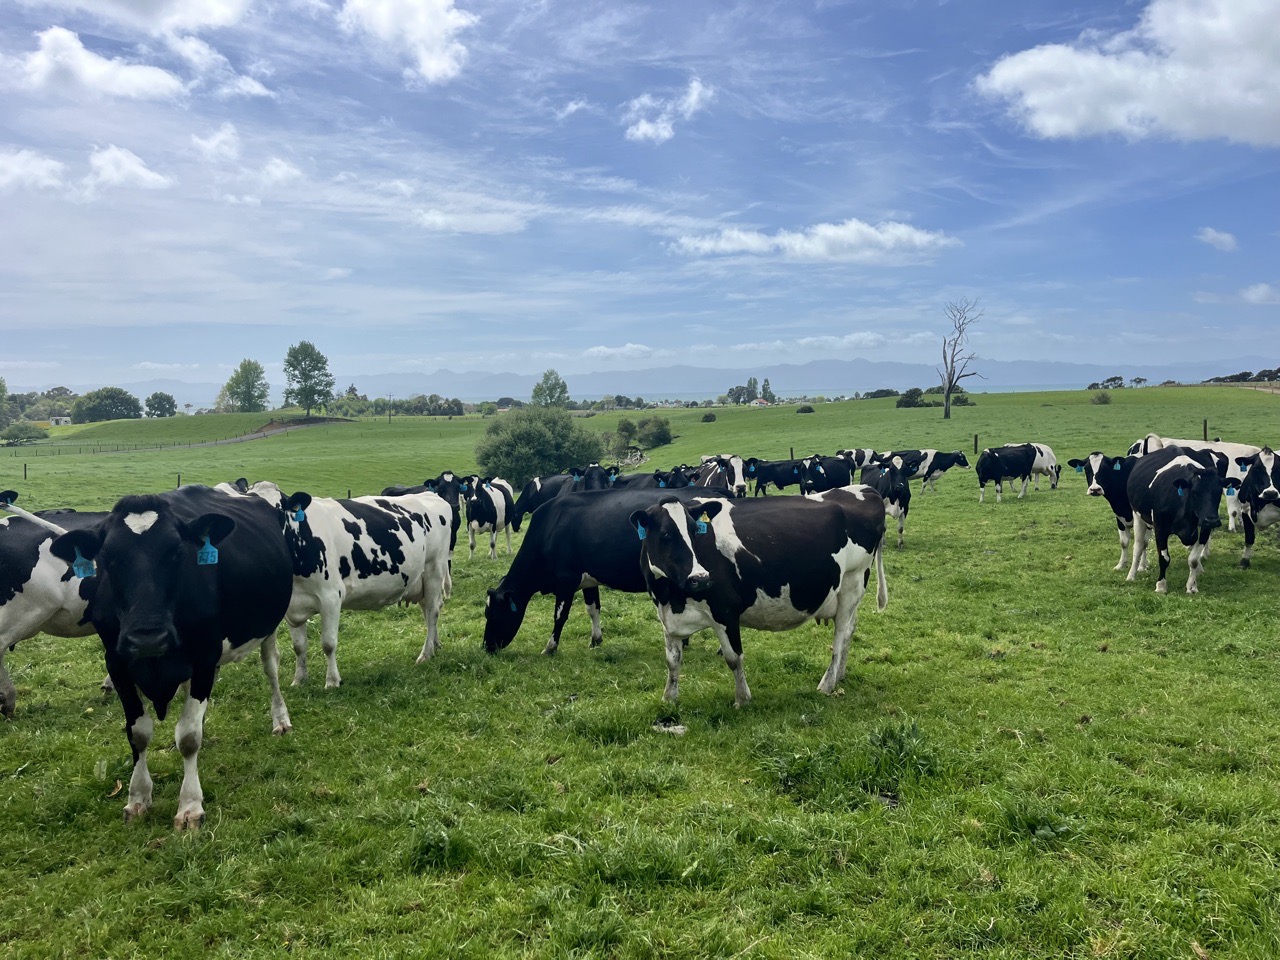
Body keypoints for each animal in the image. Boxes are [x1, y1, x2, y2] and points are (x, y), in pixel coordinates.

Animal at [47, 485, 294, 828]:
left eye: (177, 552)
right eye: (108, 558)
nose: (147, 636)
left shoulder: (204, 657)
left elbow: (188, 736)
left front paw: (190, 805)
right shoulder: (117, 663)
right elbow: (138, 733)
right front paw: (137, 798)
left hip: (267, 628)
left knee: (271, 668)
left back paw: (280, 719)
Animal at [484, 487, 730, 656]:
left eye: (492, 613)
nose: (487, 646)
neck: (549, 528)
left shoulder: (566, 581)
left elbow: (560, 616)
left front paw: (550, 647)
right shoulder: (588, 580)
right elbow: (593, 609)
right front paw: (595, 639)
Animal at [629, 490, 887, 707]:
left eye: (695, 531)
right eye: (665, 535)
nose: (700, 578)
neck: (670, 596)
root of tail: (865, 490)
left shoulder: (726, 610)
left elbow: (734, 658)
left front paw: (742, 699)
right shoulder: (667, 617)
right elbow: (672, 660)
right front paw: (669, 698)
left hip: (853, 582)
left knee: (841, 634)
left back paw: (827, 683)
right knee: (851, 629)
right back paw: (840, 675)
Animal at [1125, 447, 1234, 593]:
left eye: (1218, 492)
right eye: (1195, 492)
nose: (1212, 520)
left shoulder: (1204, 529)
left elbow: (1193, 559)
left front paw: (1192, 586)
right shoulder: (1160, 529)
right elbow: (1164, 558)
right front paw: (1161, 586)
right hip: (1138, 516)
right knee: (1138, 546)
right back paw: (1131, 575)